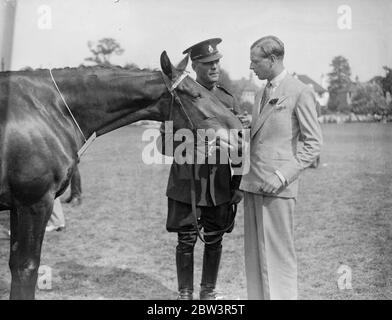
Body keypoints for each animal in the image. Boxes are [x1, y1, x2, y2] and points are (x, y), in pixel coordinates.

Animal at [0, 51, 243, 298]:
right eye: (195, 94)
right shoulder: (35, 203)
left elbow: (17, 265)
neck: (51, 108)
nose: (240, 130)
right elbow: (25, 268)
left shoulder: (20, 206)